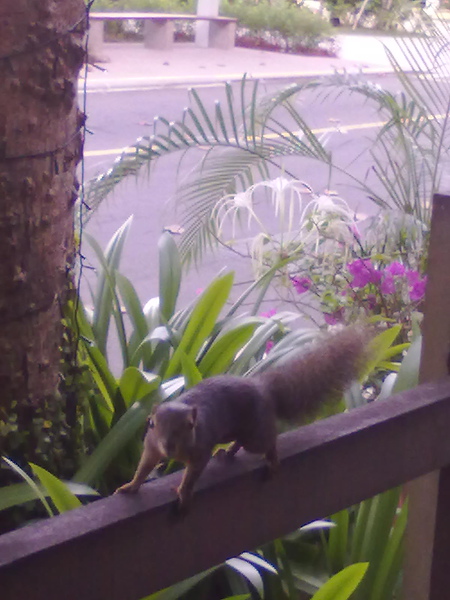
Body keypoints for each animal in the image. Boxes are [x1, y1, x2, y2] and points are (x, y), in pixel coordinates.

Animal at [115, 326, 370, 508]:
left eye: (190, 426)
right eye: (151, 424)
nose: (168, 446)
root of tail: (263, 389)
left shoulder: (200, 449)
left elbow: (193, 473)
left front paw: (183, 492)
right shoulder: (151, 446)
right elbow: (145, 466)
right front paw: (130, 486)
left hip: (255, 435)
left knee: (268, 442)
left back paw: (272, 459)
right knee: (239, 441)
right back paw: (228, 452)